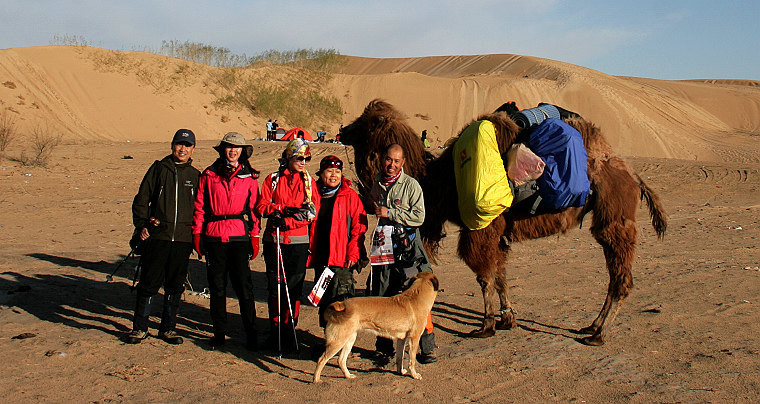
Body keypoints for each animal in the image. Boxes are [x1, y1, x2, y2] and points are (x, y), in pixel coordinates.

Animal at [310, 272, 440, 382]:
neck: (416, 297)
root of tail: (342, 305)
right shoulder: (414, 338)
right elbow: (412, 360)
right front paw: (414, 375)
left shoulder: (401, 339)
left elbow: (400, 357)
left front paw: (400, 371)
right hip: (338, 341)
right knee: (322, 359)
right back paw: (316, 380)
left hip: (349, 339)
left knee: (341, 360)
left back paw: (348, 375)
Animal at [338, 99, 664, 346]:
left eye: (367, 122)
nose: (342, 130)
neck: (441, 181)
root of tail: (633, 175)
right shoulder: (498, 233)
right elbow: (501, 274)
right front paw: (508, 318)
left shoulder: (481, 227)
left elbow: (485, 277)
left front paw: (486, 326)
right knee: (614, 276)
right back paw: (592, 326)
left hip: (615, 217)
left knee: (620, 277)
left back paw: (599, 334)